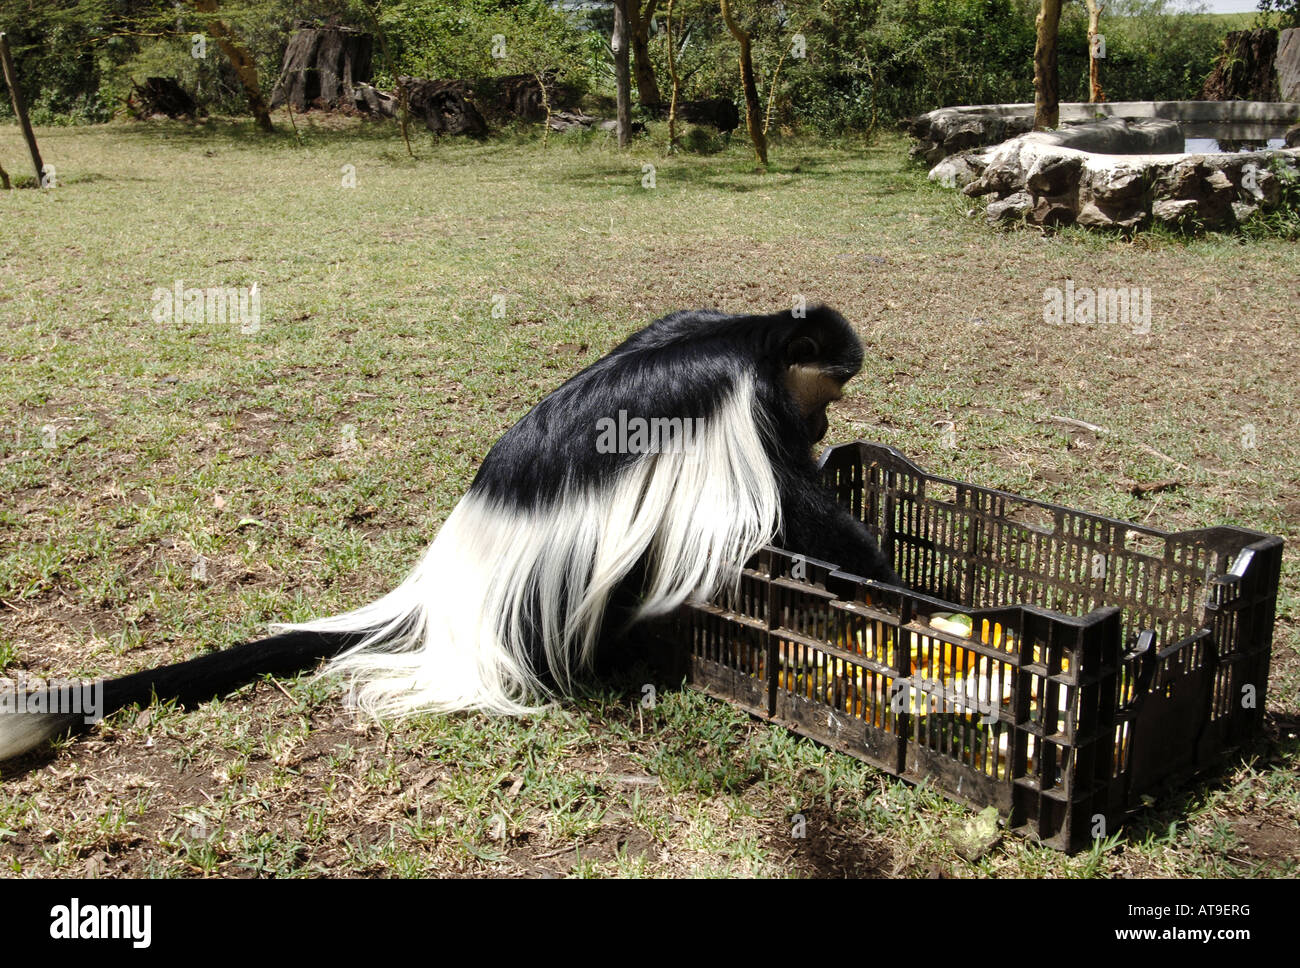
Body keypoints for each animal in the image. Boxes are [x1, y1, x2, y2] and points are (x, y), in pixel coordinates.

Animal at [0, 305, 894, 758]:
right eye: (827, 393)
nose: (824, 426)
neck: (749, 337)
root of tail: (445, 588)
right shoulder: (744, 410)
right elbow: (793, 511)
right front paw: (880, 573)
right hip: (557, 592)